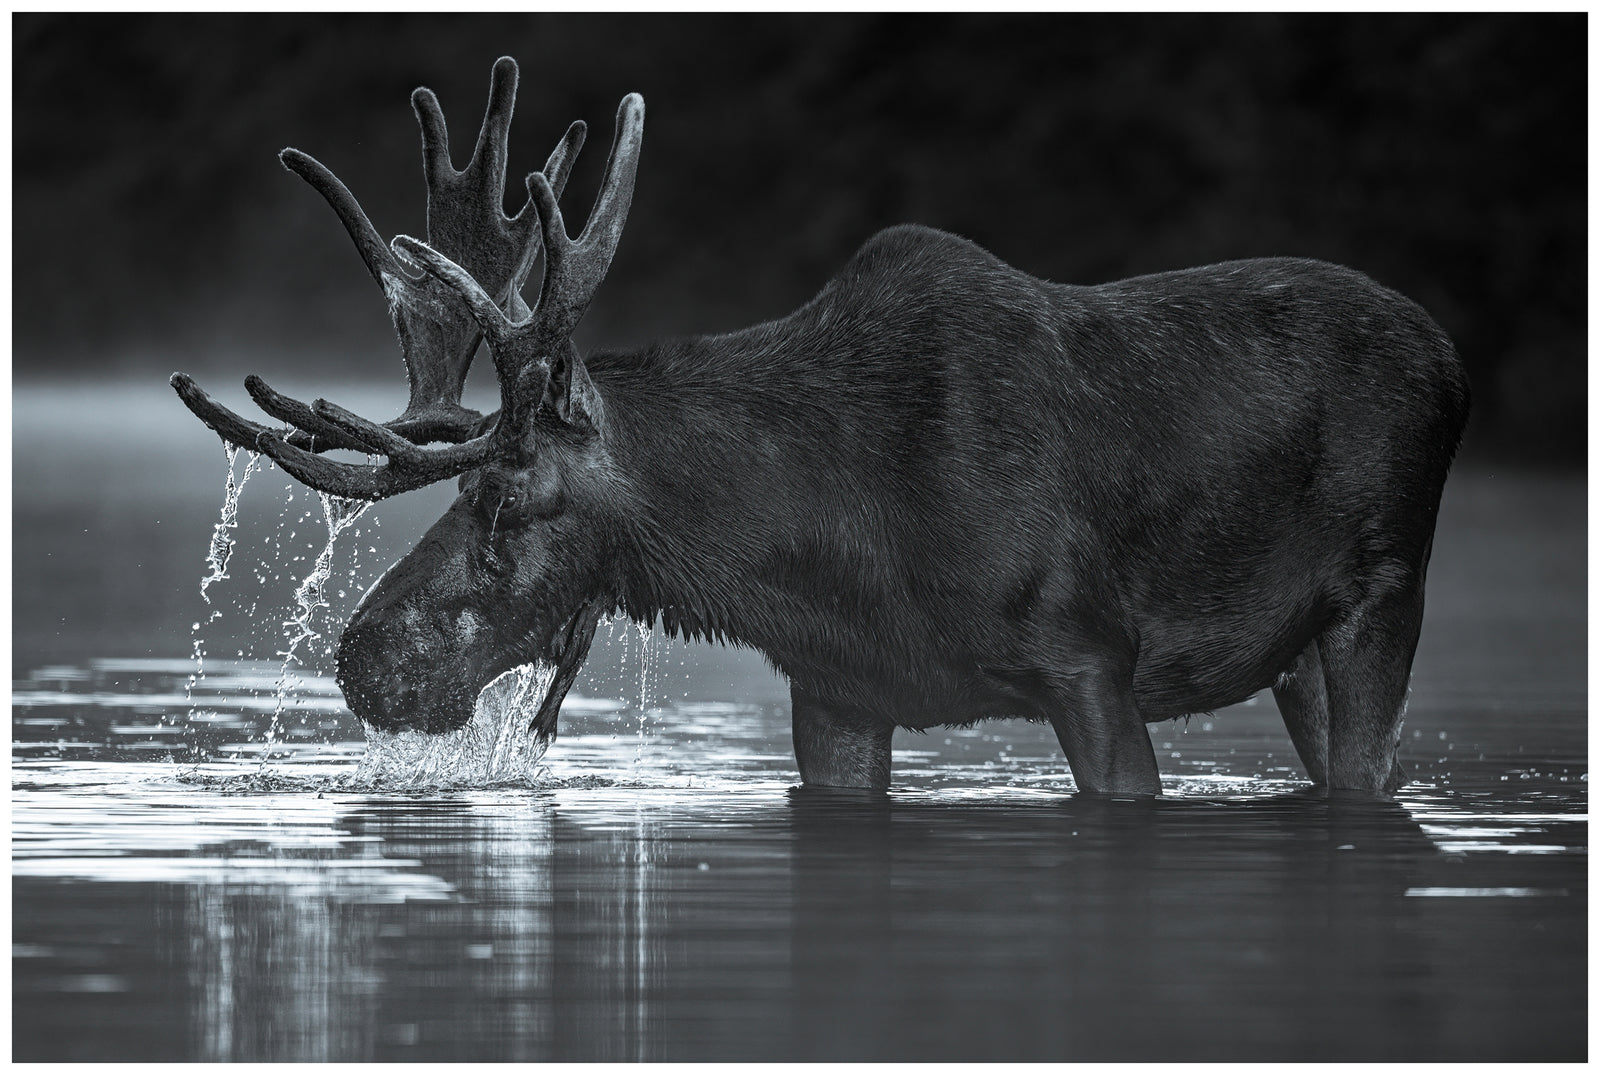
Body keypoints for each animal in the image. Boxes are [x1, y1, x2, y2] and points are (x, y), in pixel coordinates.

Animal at [173, 57, 1470, 796]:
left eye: (505, 495)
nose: (362, 657)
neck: (810, 544)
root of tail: (1453, 361)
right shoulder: (842, 689)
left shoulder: (1089, 658)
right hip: (1296, 651)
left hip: (1379, 595)